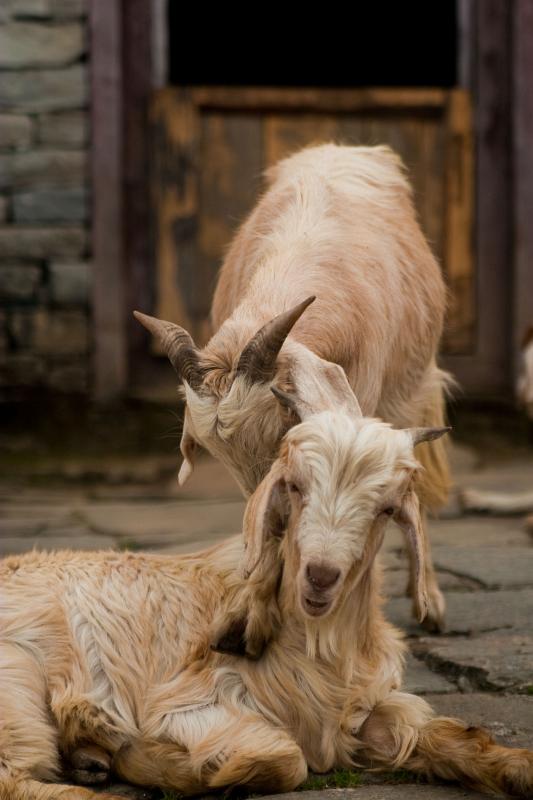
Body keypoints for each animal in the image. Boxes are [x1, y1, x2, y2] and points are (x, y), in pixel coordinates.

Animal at [1, 400, 532, 800]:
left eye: (385, 509)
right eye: (294, 487)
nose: (321, 576)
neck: (315, 647)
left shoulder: (360, 712)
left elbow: (448, 735)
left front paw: (517, 768)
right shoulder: (193, 703)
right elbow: (285, 760)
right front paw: (157, 761)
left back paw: (88, 756)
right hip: (18, 683)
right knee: (16, 780)